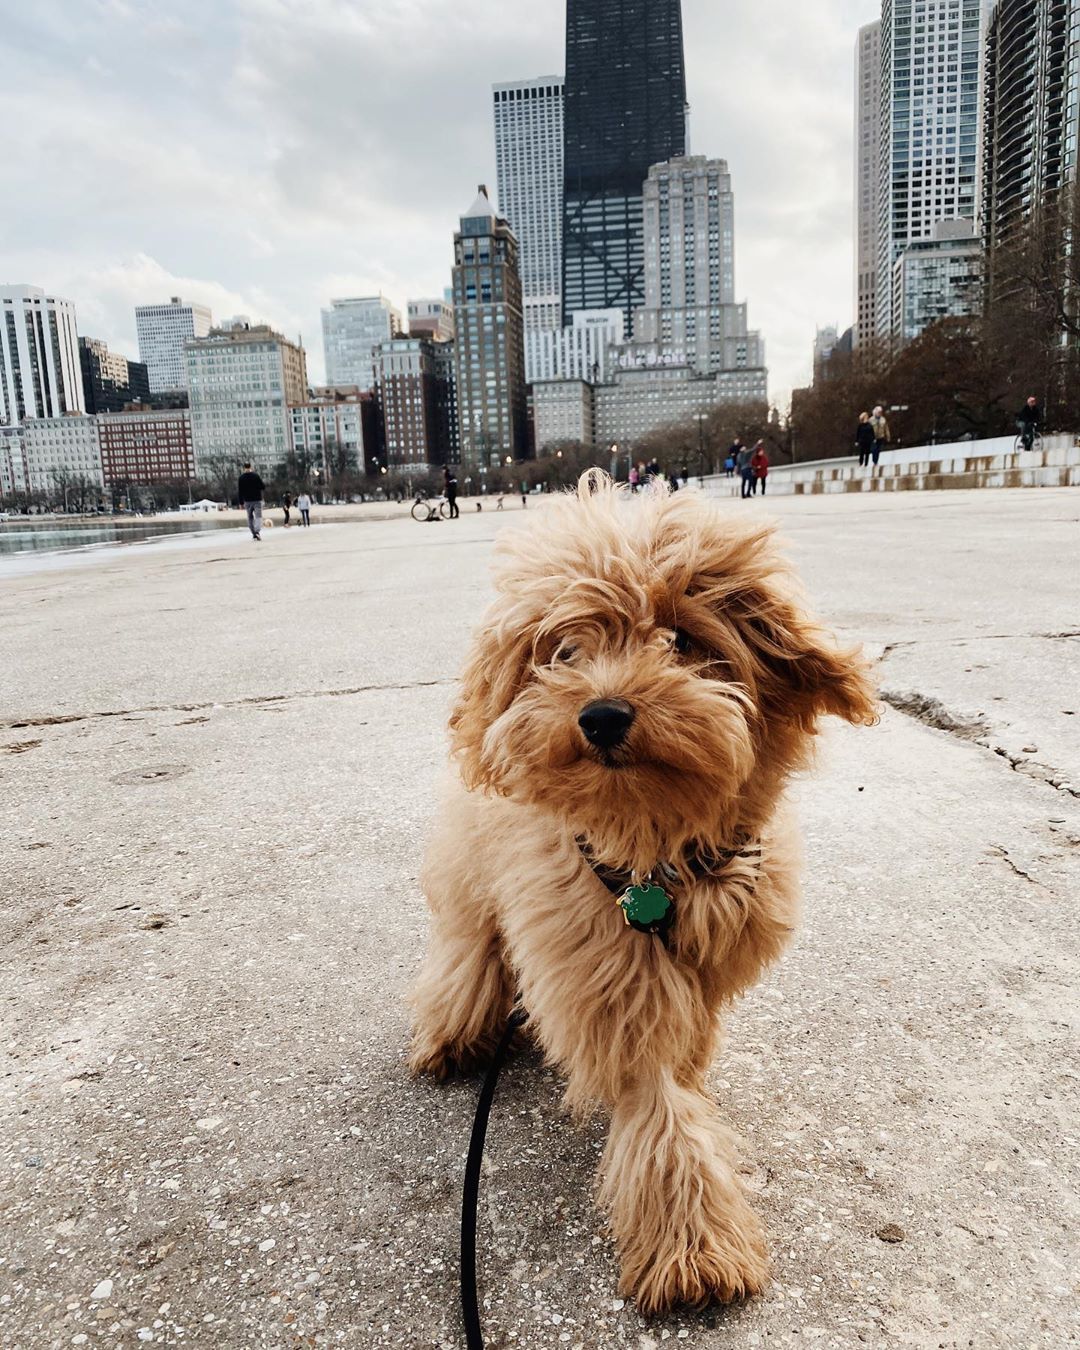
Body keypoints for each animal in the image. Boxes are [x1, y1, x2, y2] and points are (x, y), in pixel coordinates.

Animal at [407, 472, 874, 1306]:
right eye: (563, 649)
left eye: (682, 640)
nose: (600, 715)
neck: (655, 856)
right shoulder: (606, 972)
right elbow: (655, 1095)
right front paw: (693, 1245)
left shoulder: (710, 962)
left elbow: (684, 1065)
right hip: (473, 883)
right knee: (468, 952)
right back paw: (454, 1031)